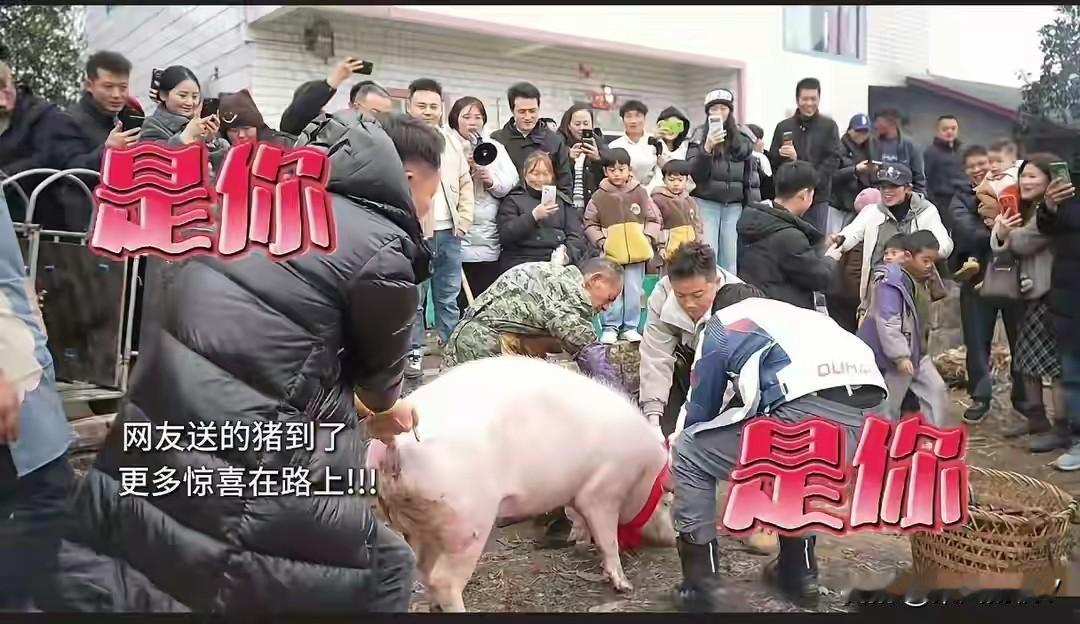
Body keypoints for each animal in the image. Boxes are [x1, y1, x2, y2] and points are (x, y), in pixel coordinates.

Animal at [365, 355, 676, 612]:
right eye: (667, 501)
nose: (673, 540)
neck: (642, 471)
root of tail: (393, 446)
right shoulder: (602, 491)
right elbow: (608, 538)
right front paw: (624, 585)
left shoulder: (579, 494)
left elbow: (582, 522)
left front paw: (577, 542)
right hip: (467, 521)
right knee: (443, 579)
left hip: (415, 525)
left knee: (424, 571)